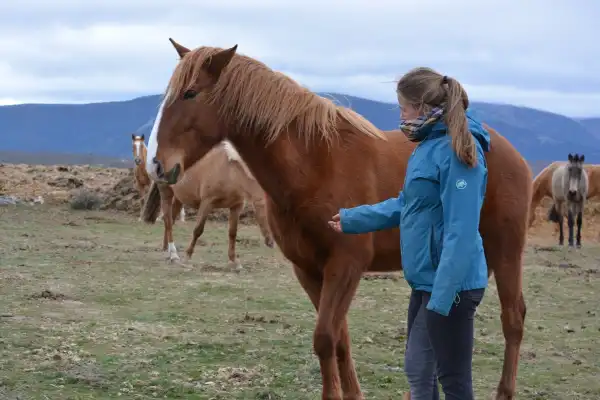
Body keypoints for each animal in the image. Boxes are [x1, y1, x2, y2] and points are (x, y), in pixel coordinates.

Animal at [141, 139, 274, 268]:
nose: (272, 242)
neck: (230, 171)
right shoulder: (207, 203)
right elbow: (198, 230)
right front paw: (187, 256)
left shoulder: (236, 206)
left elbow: (232, 233)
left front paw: (234, 261)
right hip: (166, 192)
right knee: (168, 221)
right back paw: (173, 254)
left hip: (179, 197)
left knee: (171, 219)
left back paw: (167, 249)